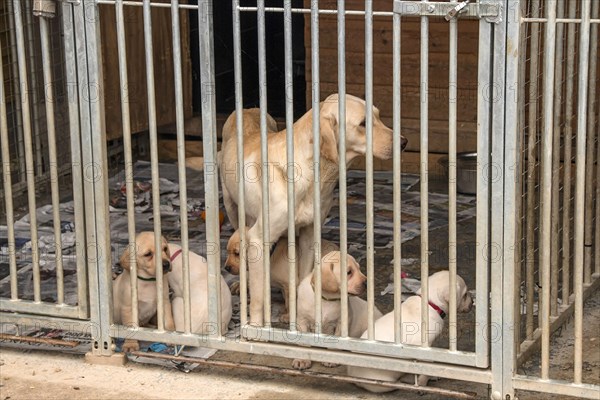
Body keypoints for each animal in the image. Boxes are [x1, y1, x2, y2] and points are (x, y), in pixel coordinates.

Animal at [220, 94, 408, 328]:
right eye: (363, 123)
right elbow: (258, 297)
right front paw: (254, 326)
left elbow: (300, 279)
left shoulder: (309, 235)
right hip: (232, 209)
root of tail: (247, 108)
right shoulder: (258, 238)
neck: (314, 173)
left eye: (378, 116)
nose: (404, 142)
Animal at [346, 270, 474, 392]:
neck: (430, 303)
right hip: (384, 383)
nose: (473, 302)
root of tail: (352, 375)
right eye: (465, 294)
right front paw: (422, 384)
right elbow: (425, 368)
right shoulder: (424, 347)